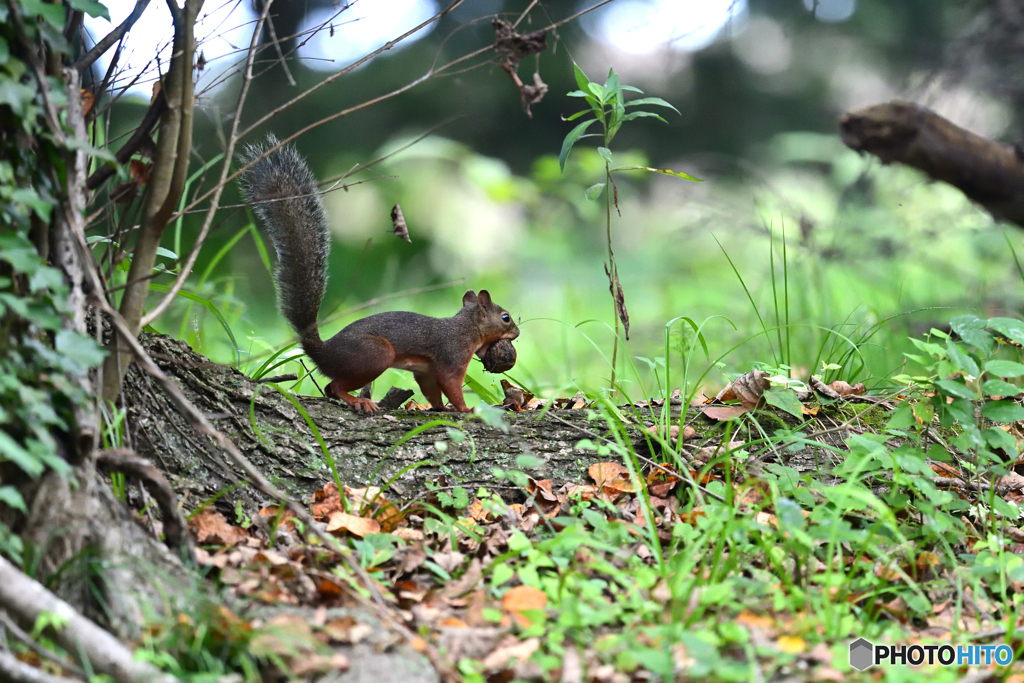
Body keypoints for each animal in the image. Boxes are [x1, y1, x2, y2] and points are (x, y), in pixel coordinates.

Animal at [239, 133, 520, 411]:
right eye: (505, 317)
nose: (517, 333)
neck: (466, 328)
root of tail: (324, 352)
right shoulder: (452, 356)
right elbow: (451, 385)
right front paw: (466, 409)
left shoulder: (426, 372)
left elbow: (431, 390)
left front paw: (440, 409)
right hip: (376, 354)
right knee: (335, 386)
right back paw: (360, 401)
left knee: (330, 389)